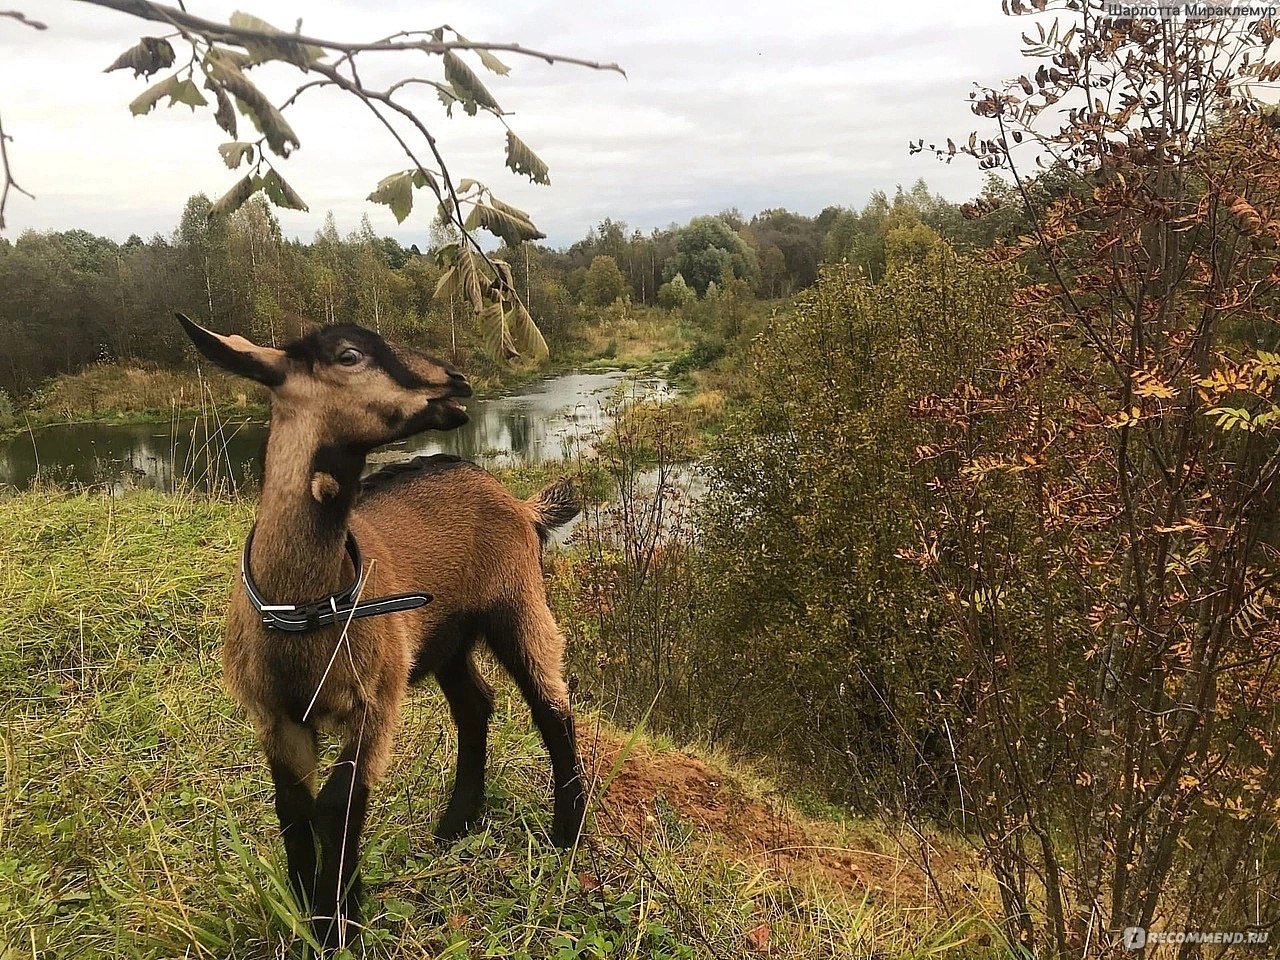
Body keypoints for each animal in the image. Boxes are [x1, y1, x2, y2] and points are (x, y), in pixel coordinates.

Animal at [175, 317, 586, 957]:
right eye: (350, 356)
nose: (456, 382)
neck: (303, 611)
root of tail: (520, 502)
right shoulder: (275, 715)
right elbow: (293, 806)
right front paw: (312, 905)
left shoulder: (373, 702)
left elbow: (338, 804)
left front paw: (335, 922)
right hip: (445, 637)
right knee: (476, 704)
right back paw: (456, 824)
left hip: (516, 599)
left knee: (551, 702)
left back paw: (565, 832)